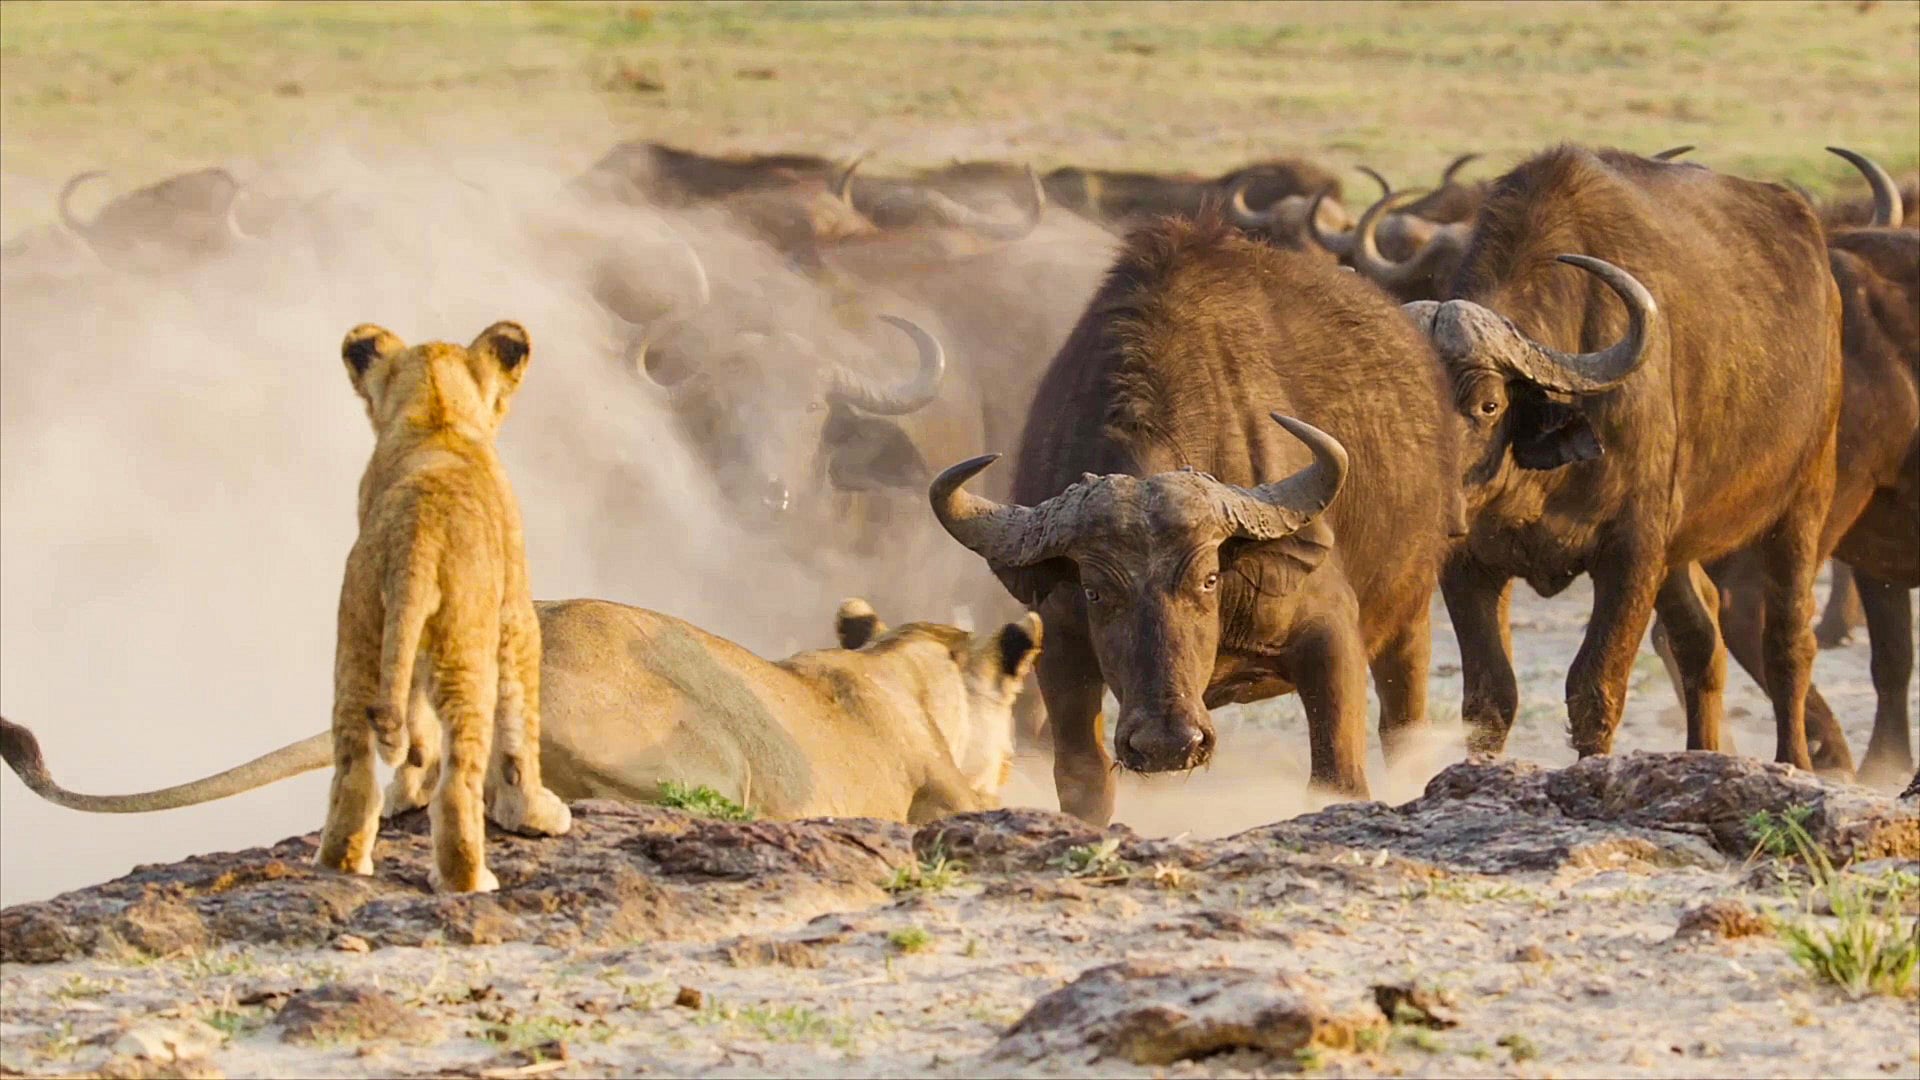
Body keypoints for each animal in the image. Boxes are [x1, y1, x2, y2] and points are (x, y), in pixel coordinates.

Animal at [323, 320, 570, 894]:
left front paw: (407, 789)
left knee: (353, 770)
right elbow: (520, 728)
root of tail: (415, 538)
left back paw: (345, 861)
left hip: (361, 645)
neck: (435, 418)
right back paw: (470, 879)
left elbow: (415, 727)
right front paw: (535, 813)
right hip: (465, 655)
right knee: (460, 783)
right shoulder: (515, 616)